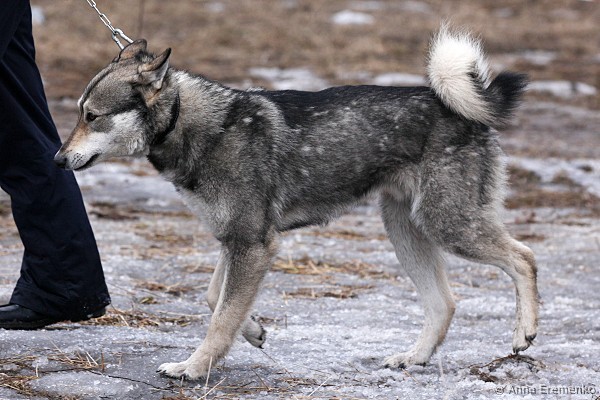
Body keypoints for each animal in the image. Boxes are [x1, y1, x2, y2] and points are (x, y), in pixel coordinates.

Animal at [54, 27, 538, 380]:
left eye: (92, 116)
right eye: (80, 113)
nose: (57, 160)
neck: (200, 126)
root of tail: (460, 107)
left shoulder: (252, 244)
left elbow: (219, 319)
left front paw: (193, 368)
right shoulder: (238, 240)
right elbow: (216, 299)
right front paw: (252, 330)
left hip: (448, 225)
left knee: (524, 258)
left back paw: (525, 332)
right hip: (406, 231)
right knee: (444, 303)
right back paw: (414, 358)